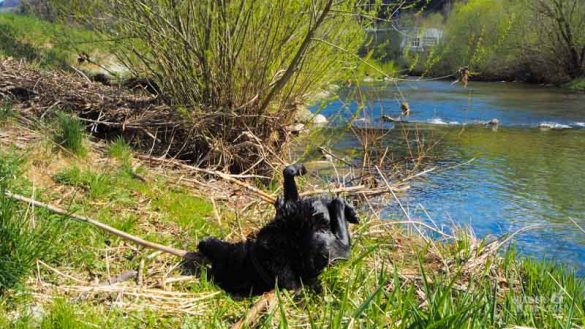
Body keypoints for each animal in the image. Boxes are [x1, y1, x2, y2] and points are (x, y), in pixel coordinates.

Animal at [198, 164, 358, 294]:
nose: (200, 243)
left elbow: (289, 185)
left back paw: (349, 211)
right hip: (329, 248)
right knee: (339, 218)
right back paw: (344, 209)